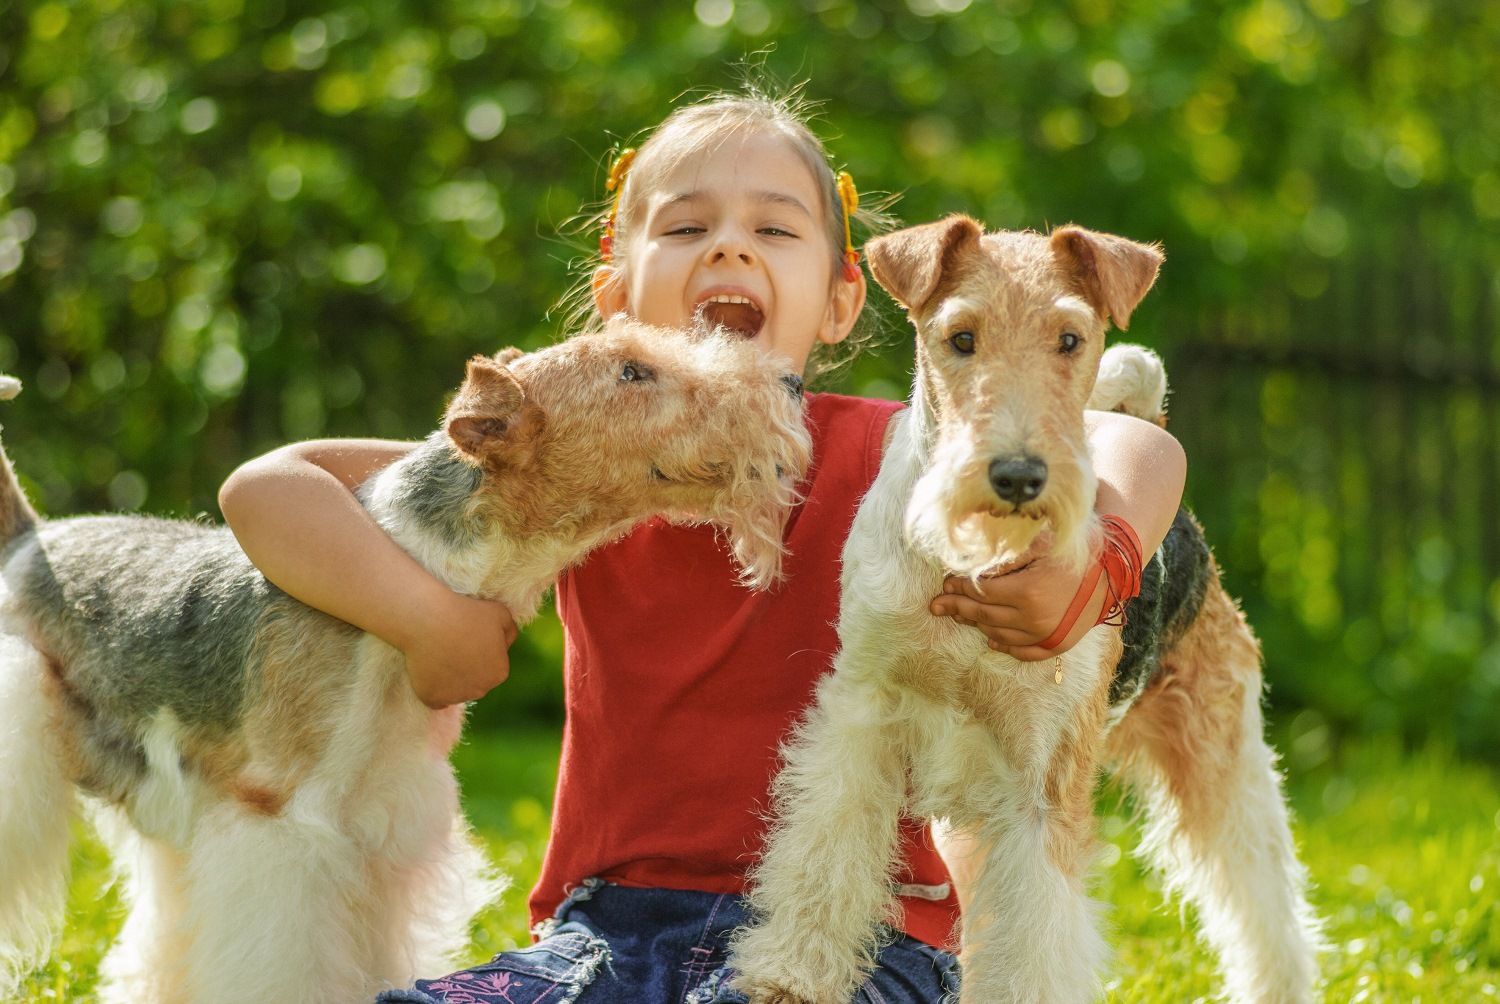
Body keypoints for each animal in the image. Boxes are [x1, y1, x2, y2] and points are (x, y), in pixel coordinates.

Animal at [0, 319, 816, 1002]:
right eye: (632, 372)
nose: (790, 383)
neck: (421, 573)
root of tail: (28, 539)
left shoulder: (381, 836)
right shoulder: (283, 830)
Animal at [732, 219, 1320, 1002]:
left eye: (1070, 339)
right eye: (961, 338)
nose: (1017, 476)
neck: (973, 568)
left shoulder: (1043, 782)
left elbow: (1038, 944)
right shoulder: (863, 718)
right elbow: (823, 851)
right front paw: (790, 975)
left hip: (1218, 750)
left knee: (1265, 905)